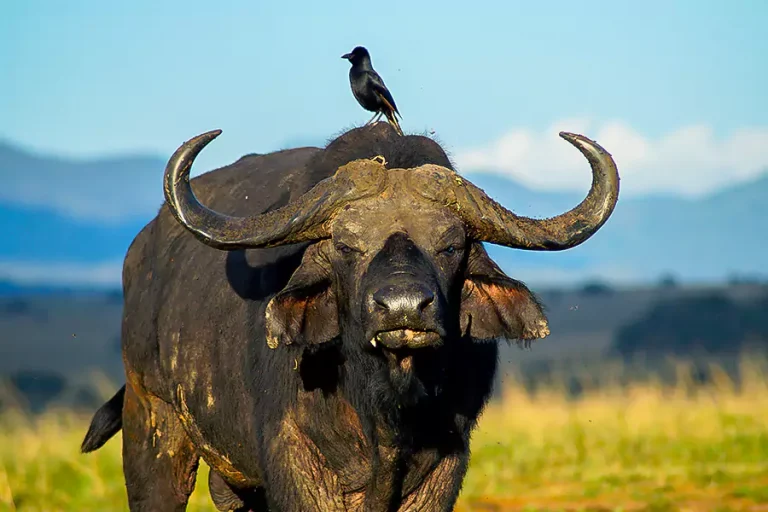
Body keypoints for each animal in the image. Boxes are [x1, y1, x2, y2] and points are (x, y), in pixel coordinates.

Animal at [82, 122, 616, 510]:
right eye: (346, 246)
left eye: (450, 245)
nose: (403, 309)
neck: (384, 411)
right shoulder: (297, 467)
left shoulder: (444, 467)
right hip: (153, 423)